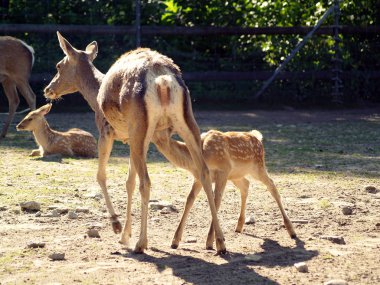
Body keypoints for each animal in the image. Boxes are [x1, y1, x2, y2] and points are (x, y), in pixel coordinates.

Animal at [42, 31, 226, 253]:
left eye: (59, 65)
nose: (47, 89)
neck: (95, 98)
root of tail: (162, 80)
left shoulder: (106, 131)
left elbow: (101, 176)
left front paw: (117, 226)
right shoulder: (133, 139)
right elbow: (129, 182)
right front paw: (124, 235)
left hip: (141, 125)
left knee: (146, 181)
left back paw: (141, 243)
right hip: (184, 122)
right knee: (203, 171)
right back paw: (219, 242)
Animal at [153, 127, 296, 247]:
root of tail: (257, 137)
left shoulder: (223, 170)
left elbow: (216, 201)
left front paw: (211, 242)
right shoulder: (199, 178)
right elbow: (189, 200)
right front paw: (175, 241)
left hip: (258, 167)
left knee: (272, 185)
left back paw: (292, 231)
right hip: (236, 175)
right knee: (246, 185)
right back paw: (239, 226)